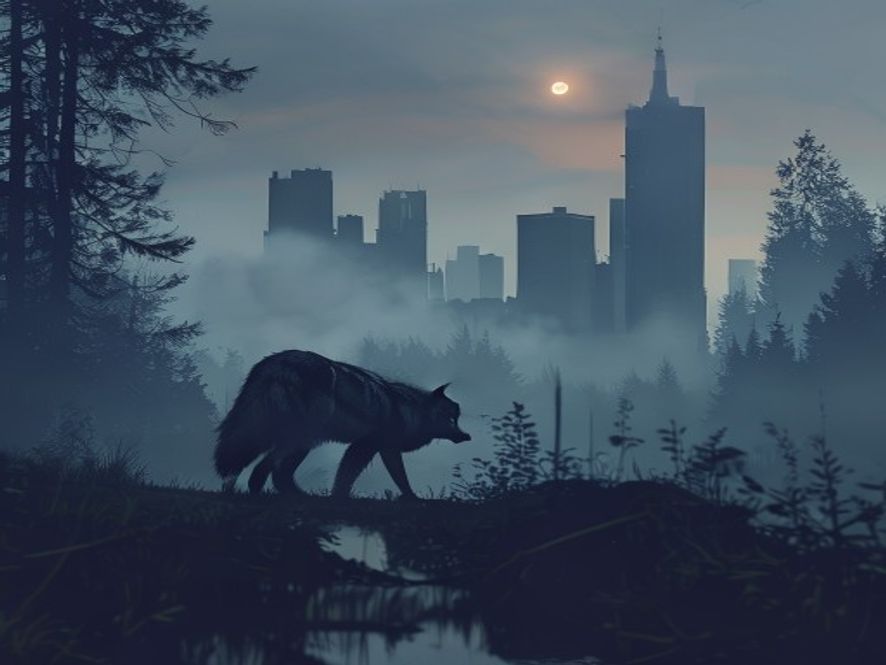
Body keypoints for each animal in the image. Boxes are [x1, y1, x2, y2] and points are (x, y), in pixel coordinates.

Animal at [213, 350, 471, 498]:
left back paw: (301, 497)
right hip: (301, 438)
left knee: (278, 474)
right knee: (265, 471)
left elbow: (390, 478)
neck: (409, 410)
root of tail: (275, 365)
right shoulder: (366, 447)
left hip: (302, 441)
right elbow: (351, 476)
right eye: (451, 419)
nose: (466, 436)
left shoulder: (381, 448)